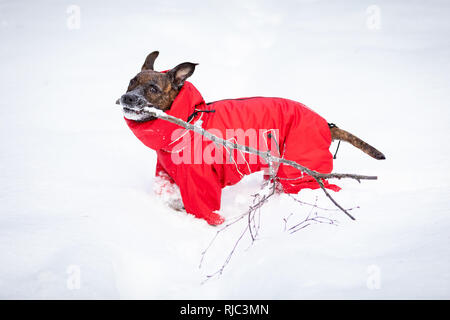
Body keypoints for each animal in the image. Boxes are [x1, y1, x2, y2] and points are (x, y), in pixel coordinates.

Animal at [118, 51, 384, 225]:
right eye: (131, 81)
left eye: (153, 88)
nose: (128, 98)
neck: (190, 119)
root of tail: (325, 125)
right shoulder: (167, 173)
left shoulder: (201, 184)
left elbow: (205, 211)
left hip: (300, 172)